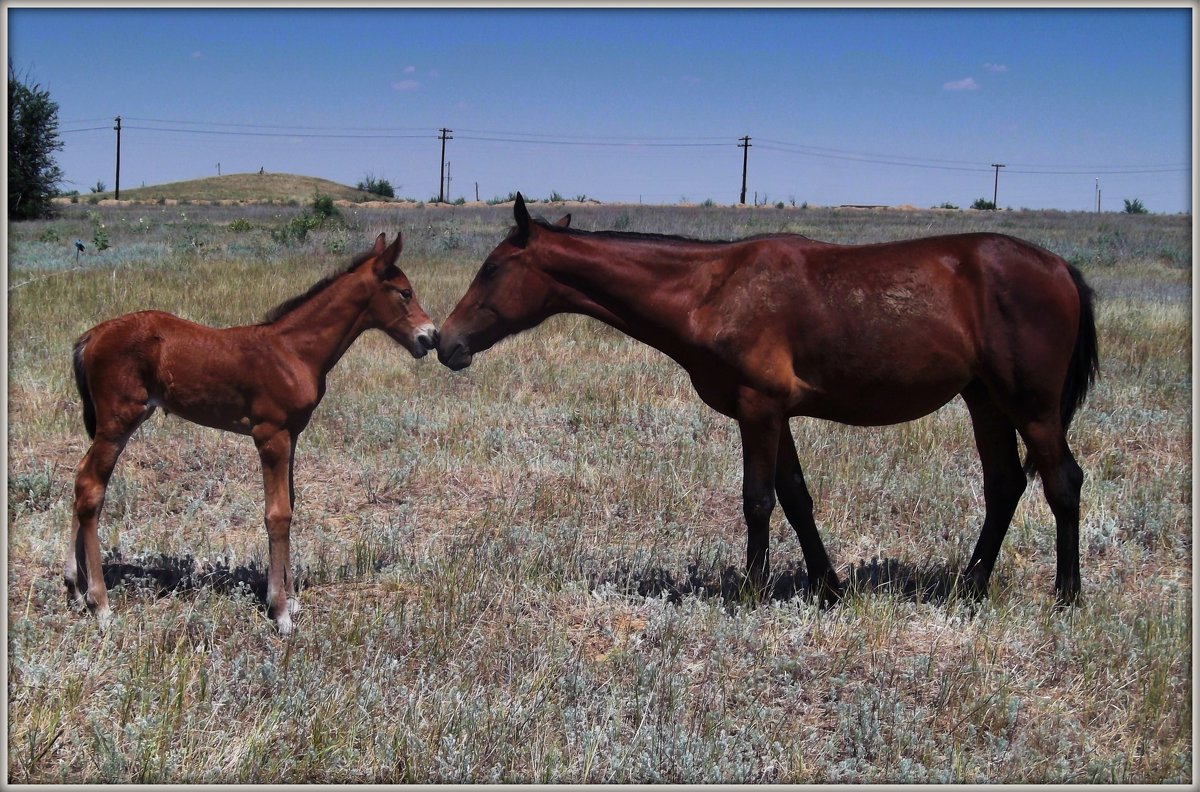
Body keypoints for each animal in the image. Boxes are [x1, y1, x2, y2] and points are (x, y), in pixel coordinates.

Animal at [68, 231, 439, 633]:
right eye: (404, 292)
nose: (430, 336)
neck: (293, 351)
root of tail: (92, 335)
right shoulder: (270, 435)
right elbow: (277, 514)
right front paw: (279, 611)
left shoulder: (292, 434)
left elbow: (290, 503)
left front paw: (291, 600)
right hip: (119, 420)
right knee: (90, 487)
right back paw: (100, 605)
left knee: (80, 480)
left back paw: (75, 587)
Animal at [439, 194, 1099, 609]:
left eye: (492, 269)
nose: (444, 343)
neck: (711, 291)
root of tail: (1061, 268)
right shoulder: (776, 413)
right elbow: (797, 498)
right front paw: (828, 588)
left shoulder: (757, 410)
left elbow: (758, 501)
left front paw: (752, 593)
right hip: (984, 400)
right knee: (1004, 485)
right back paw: (971, 585)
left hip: (1032, 408)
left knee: (1061, 482)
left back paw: (1066, 596)